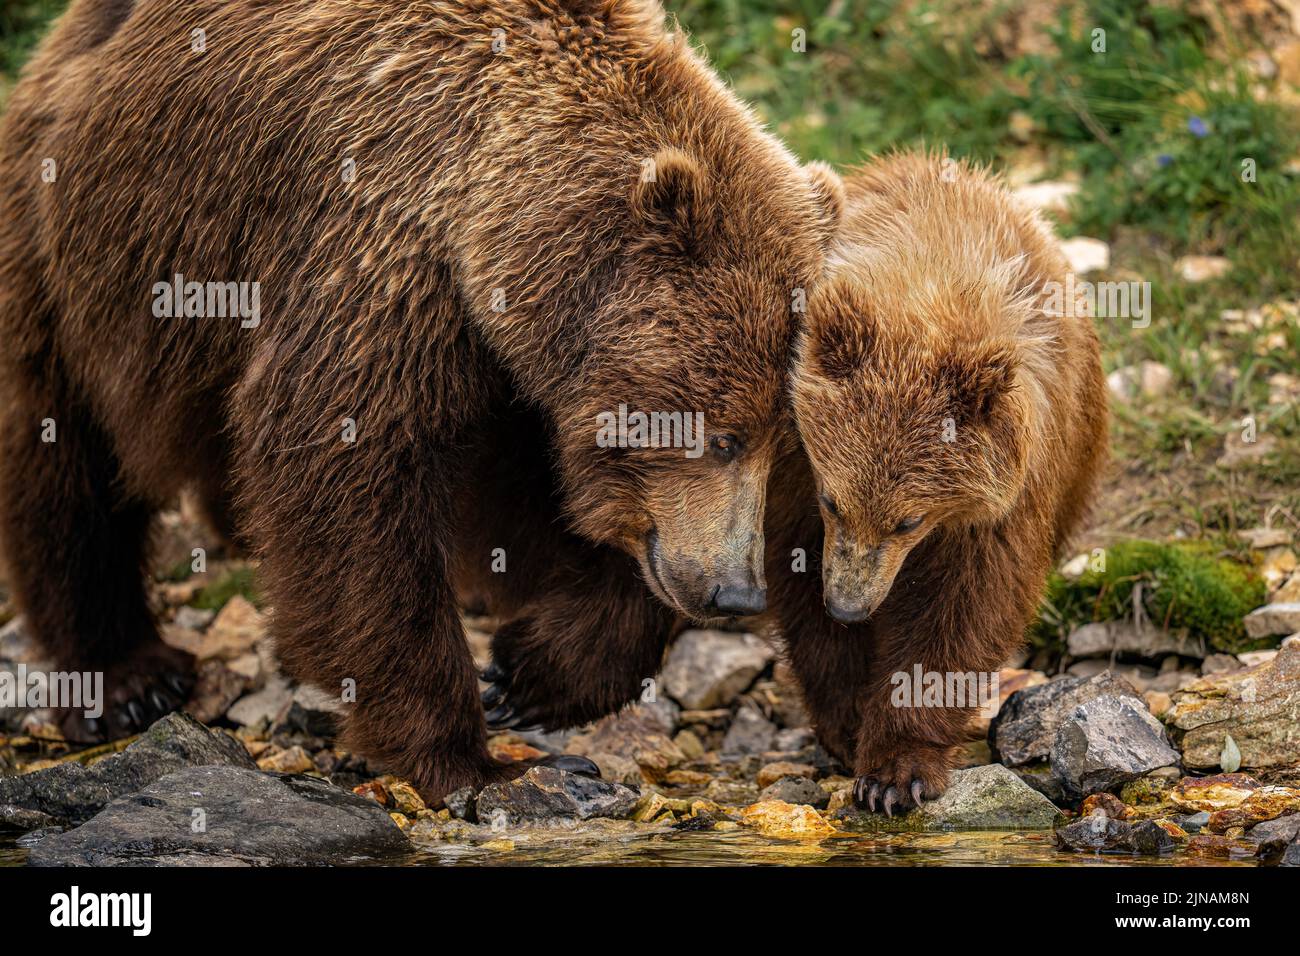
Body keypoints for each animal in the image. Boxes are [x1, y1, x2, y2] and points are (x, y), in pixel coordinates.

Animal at [0, 0, 841, 802]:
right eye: (725, 435)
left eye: (782, 444)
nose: (737, 590)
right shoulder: (383, 256)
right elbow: (350, 491)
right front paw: (473, 758)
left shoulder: (509, 368)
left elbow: (538, 511)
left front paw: (530, 673)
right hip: (79, 244)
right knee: (61, 459)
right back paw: (125, 678)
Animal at [772, 151, 1109, 812]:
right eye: (833, 499)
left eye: (910, 518)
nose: (849, 605)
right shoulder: (796, 478)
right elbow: (800, 592)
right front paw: (850, 720)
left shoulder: (1001, 503)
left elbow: (963, 611)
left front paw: (894, 771)